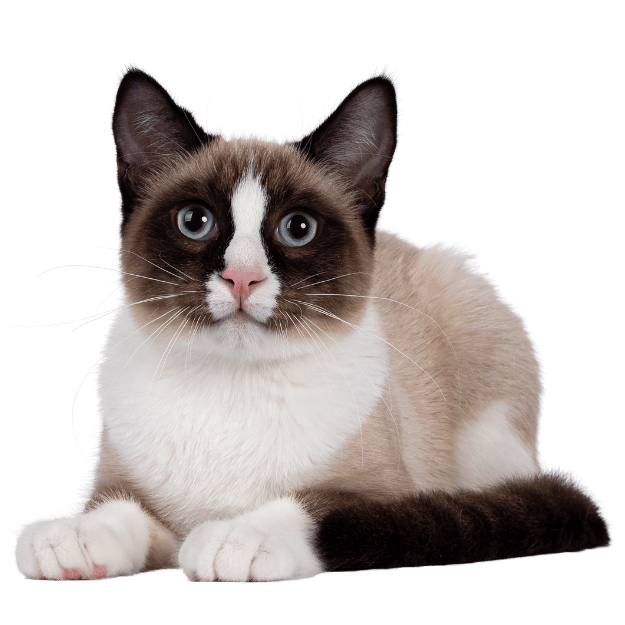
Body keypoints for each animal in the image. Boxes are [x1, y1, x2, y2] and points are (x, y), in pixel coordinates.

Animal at [14, 68, 608, 580]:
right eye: (195, 222)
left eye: (298, 228)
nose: (242, 278)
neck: (230, 391)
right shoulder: (136, 497)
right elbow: (117, 510)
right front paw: (72, 539)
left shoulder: (379, 497)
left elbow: (311, 507)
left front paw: (235, 539)